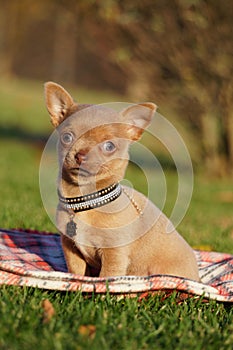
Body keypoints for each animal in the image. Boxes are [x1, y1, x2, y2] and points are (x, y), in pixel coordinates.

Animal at [44, 82, 199, 282]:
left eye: (109, 146)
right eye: (66, 137)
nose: (81, 155)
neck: (86, 201)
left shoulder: (114, 254)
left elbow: (107, 277)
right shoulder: (70, 247)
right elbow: (76, 271)